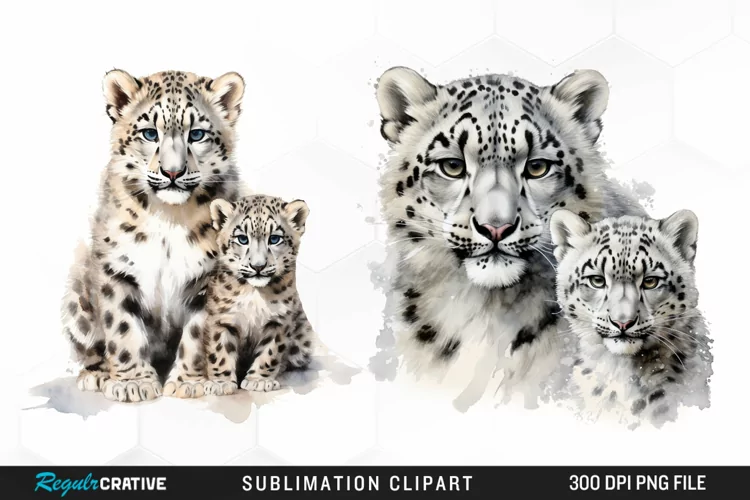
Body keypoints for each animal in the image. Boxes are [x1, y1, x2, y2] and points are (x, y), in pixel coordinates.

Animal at [60, 69, 249, 402]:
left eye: (196, 134)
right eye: (150, 133)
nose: (172, 172)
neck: (169, 219)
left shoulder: (208, 279)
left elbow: (198, 333)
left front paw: (188, 382)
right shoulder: (116, 270)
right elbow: (122, 326)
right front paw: (132, 383)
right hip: (75, 296)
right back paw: (97, 374)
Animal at [162, 194, 317, 397]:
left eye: (274, 238)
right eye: (242, 239)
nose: (258, 266)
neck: (255, 293)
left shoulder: (279, 321)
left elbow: (270, 352)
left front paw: (258, 381)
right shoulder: (222, 319)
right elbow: (220, 351)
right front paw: (220, 383)